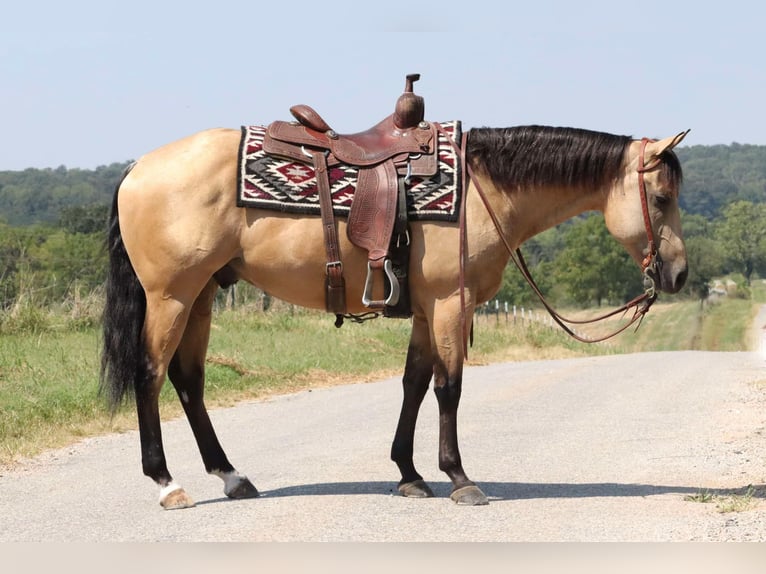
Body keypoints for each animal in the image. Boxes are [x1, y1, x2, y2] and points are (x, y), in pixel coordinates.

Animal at [97, 75, 688, 508]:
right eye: (661, 198)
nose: (679, 274)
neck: (483, 189)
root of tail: (137, 167)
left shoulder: (426, 311)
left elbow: (413, 384)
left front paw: (409, 473)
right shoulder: (451, 304)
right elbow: (449, 388)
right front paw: (459, 478)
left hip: (201, 296)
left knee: (188, 381)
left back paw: (232, 477)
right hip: (171, 296)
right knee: (150, 374)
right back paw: (167, 484)